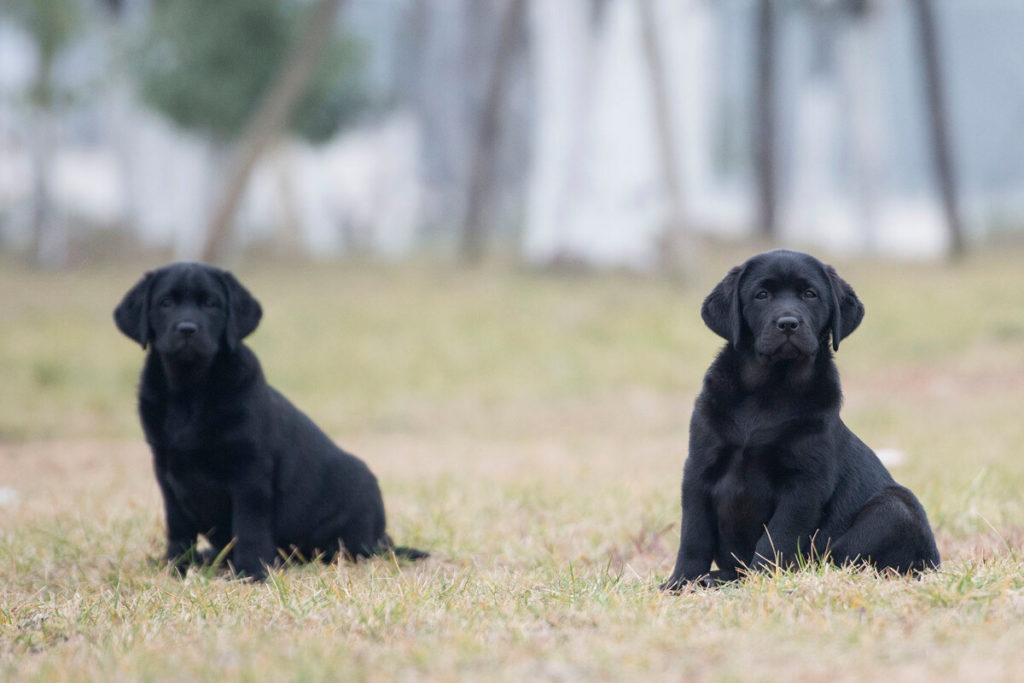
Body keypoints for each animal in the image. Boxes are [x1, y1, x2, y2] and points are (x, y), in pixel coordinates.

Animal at [114, 264, 425, 581]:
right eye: (165, 303)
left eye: (211, 303)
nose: (187, 328)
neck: (189, 391)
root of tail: (382, 539)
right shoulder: (166, 470)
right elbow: (178, 527)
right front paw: (177, 566)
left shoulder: (250, 471)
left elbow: (249, 525)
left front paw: (251, 571)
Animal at [659, 249, 937, 589]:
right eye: (761, 295)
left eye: (810, 294)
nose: (788, 323)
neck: (769, 390)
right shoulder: (698, 469)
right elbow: (694, 535)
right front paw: (679, 583)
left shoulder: (804, 482)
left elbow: (776, 538)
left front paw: (762, 579)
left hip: (896, 507)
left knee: (838, 555)